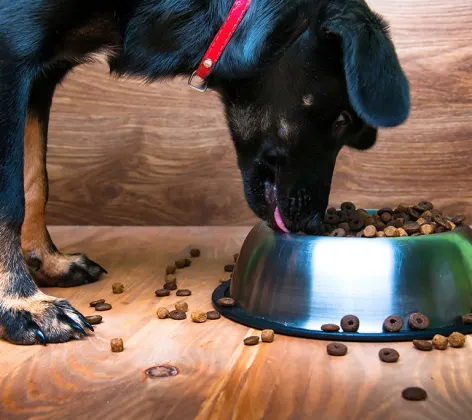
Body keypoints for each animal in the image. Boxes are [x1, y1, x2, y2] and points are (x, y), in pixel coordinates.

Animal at [0, 0, 408, 344]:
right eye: (342, 120)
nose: (312, 225)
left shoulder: (42, 76)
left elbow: (35, 180)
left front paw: (47, 261)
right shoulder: (13, 56)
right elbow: (10, 201)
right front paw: (21, 305)